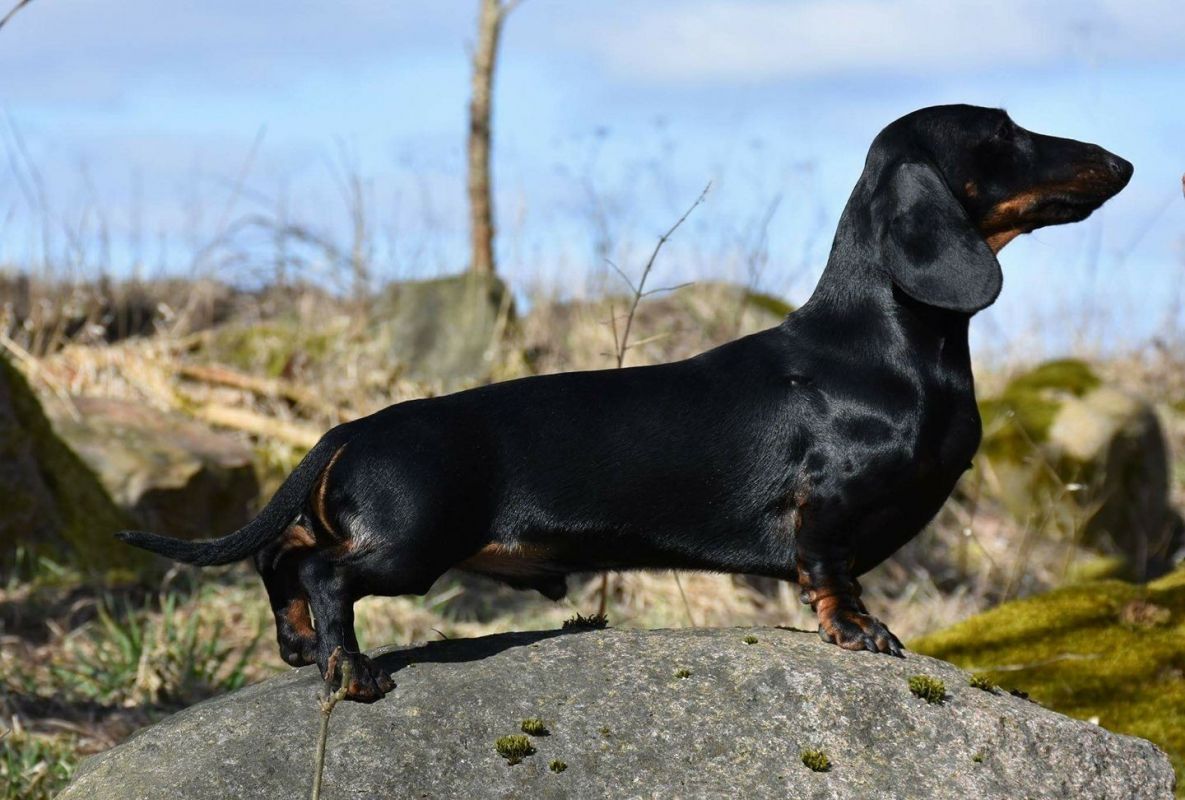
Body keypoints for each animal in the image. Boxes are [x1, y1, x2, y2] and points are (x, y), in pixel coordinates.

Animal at [119, 105, 1132, 702]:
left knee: (284, 558)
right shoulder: (828, 515)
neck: (883, 344)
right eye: (1000, 133)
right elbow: (830, 572)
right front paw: (857, 631)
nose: (1119, 160)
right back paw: (348, 667)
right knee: (320, 572)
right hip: (411, 545)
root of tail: (350, 426)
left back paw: (299, 647)